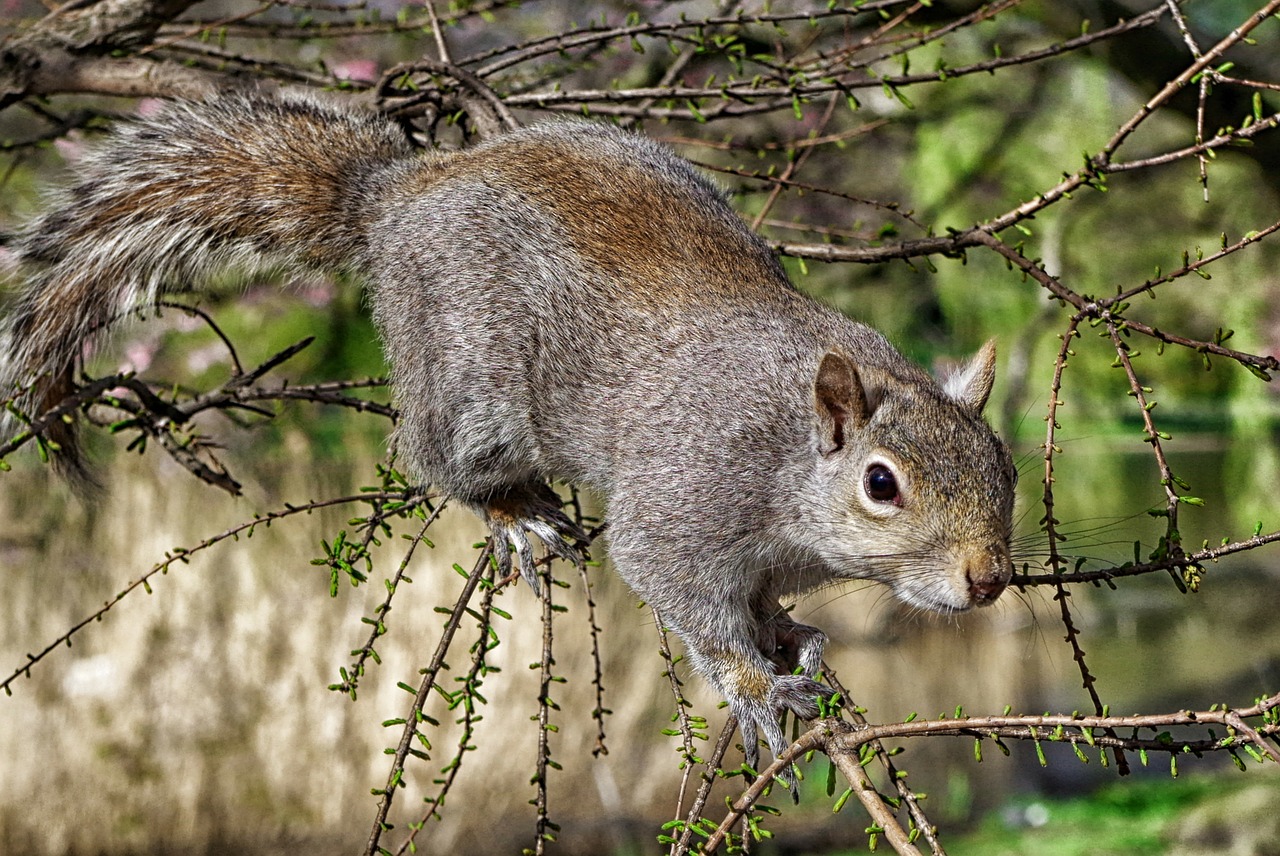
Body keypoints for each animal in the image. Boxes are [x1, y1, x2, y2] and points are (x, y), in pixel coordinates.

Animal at [2, 93, 1018, 767]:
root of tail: (393, 195)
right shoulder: (686, 501)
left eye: (1003, 466)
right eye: (882, 484)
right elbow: (687, 599)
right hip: (471, 383)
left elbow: (761, 603)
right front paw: (761, 685)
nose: (989, 580)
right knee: (441, 459)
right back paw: (515, 514)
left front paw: (791, 631)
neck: (787, 458)